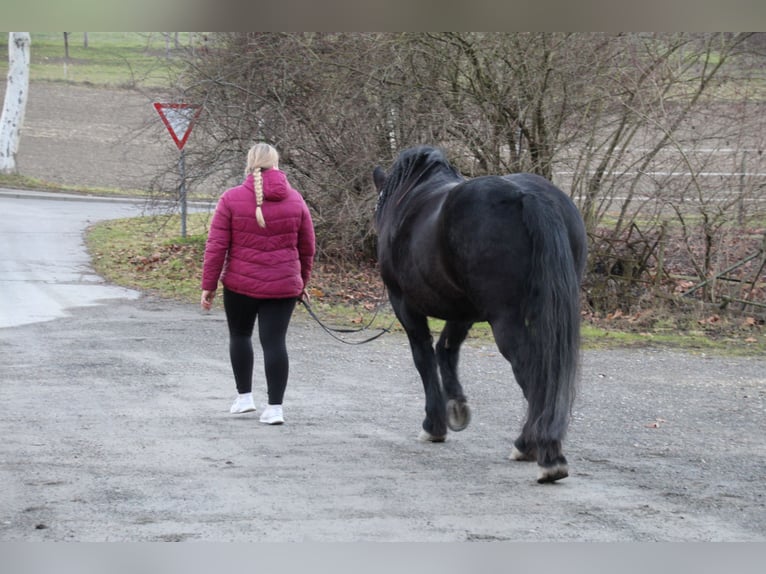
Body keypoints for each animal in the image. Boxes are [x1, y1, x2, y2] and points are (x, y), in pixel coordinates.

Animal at [374, 146, 588, 484]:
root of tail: (531, 197)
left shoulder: (405, 306)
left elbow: (424, 357)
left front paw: (434, 425)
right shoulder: (464, 309)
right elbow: (446, 349)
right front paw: (457, 407)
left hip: (507, 322)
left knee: (533, 374)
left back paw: (537, 451)